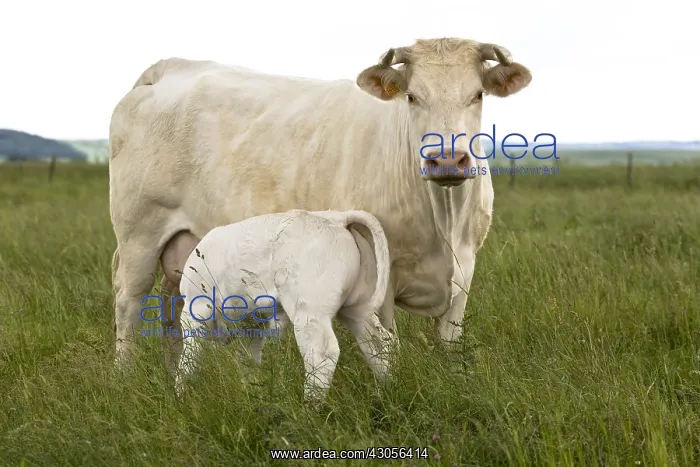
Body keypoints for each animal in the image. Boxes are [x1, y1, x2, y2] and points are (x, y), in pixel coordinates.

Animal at [108, 37, 532, 374]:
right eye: (412, 96)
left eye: (477, 94)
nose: (446, 159)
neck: (443, 222)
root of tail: (169, 68)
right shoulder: (382, 278)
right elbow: (387, 346)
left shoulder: (465, 272)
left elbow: (449, 344)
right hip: (139, 236)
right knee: (128, 305)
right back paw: (124, 377)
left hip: (185, 251)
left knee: (171, 310)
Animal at [174, 209, 393, 401]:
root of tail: (337, 217)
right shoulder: (253, 326)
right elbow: (248, 362)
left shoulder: (195, 313)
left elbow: (187, 363)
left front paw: (180, 399)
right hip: (357, 308)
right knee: (379, 344)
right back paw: (385, 393)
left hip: (309, 310)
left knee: (321, 354)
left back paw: (310, 408)